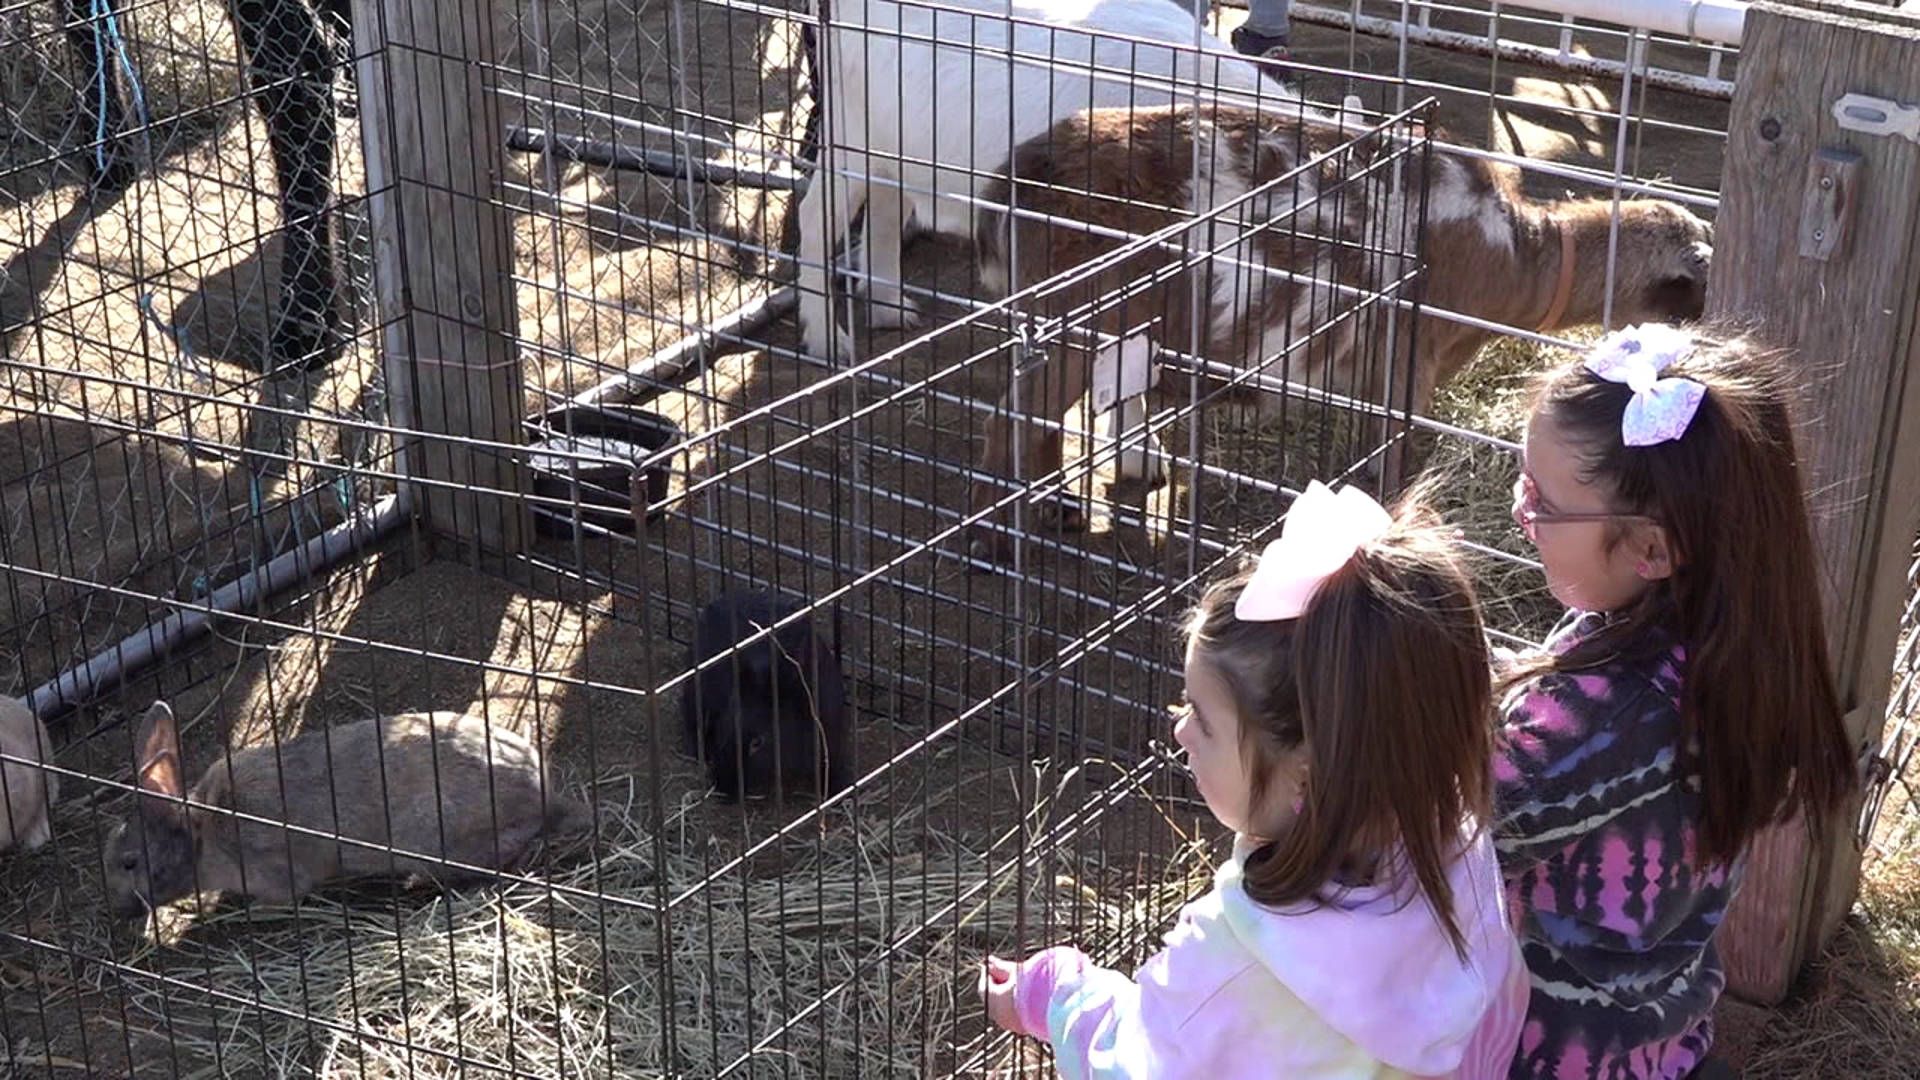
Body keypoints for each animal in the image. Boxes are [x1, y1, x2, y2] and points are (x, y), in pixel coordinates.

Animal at [967, 101, 1720, 557]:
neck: (1517, 253)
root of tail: (1013, 179)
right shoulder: (1407, 364)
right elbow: (1392, 466)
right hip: (1070, 322)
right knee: (1011, 419)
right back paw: (998, 540)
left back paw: (1056, 510)